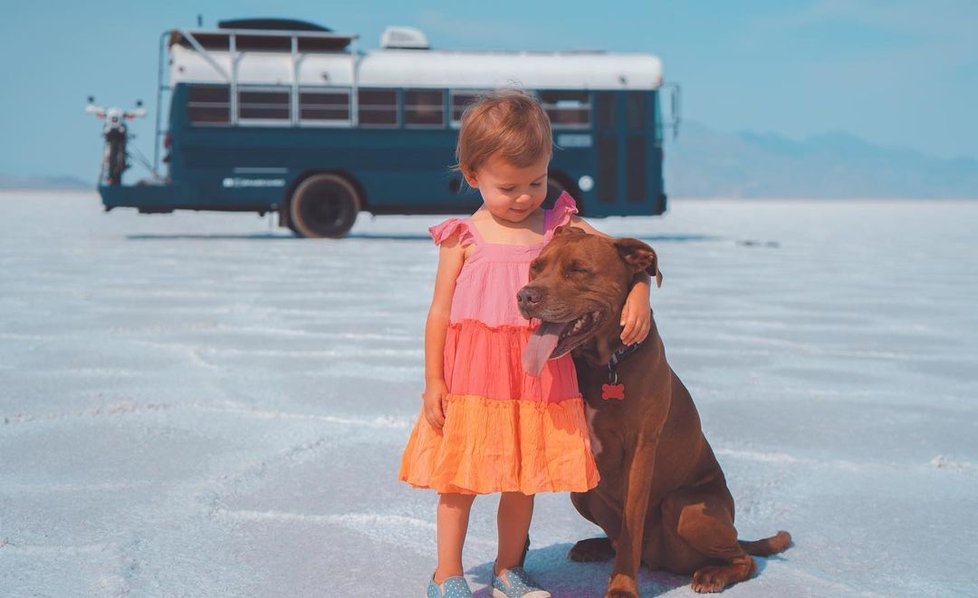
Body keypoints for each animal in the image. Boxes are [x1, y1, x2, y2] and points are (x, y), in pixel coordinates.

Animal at [520, 227, 784, 596]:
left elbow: (632, 523)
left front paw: (622, 587)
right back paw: (595, 546)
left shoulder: (641, 450)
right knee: (619, 538)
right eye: (536, 267)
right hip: (582, 497)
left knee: (743, 558)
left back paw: (713, 574)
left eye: (578, 270)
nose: (525, 296)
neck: (606, 363)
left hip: (688, 508)